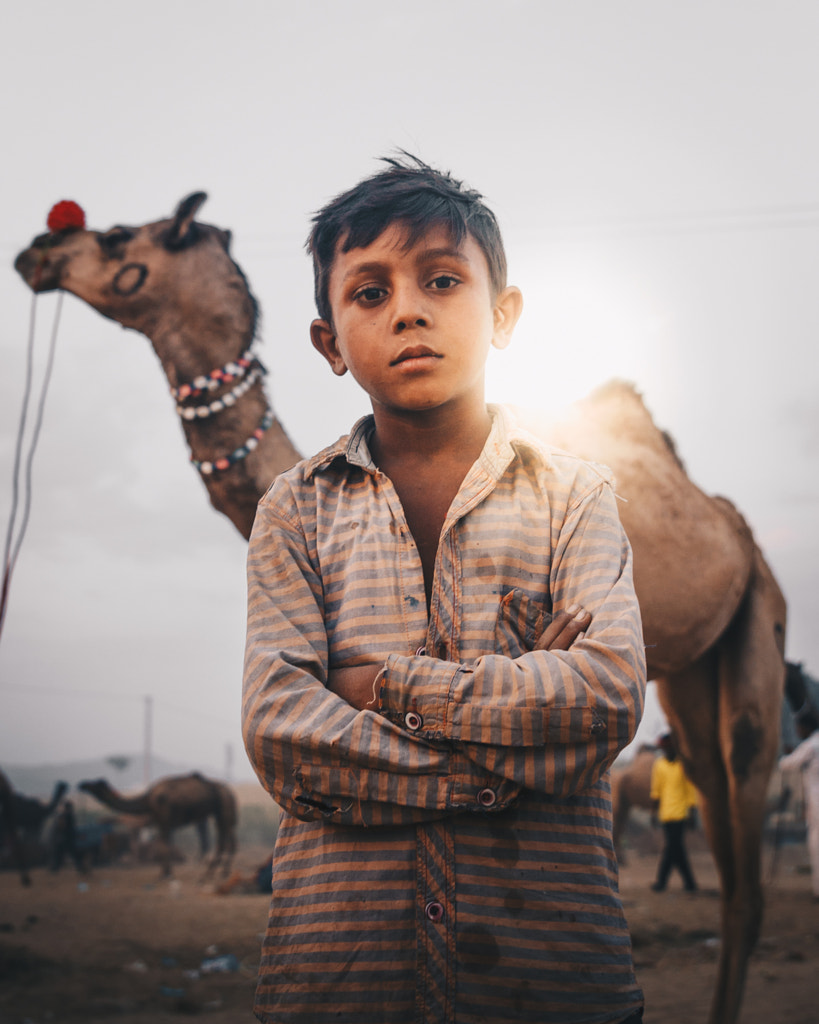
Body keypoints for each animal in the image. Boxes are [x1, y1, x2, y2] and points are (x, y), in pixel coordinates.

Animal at [77, 774, 236, 880]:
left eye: (97, 784)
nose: (82, 784)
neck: (147, 800)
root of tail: (230, 792)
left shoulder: (163, 820)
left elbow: (162, 844)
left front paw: (165, 873)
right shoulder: (161, 822)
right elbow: (162, 844)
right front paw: (165, 872)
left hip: (224, 808)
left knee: (226, 842)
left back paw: (213, 874)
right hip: (219, 812)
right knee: (224, 842)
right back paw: (216, 873)